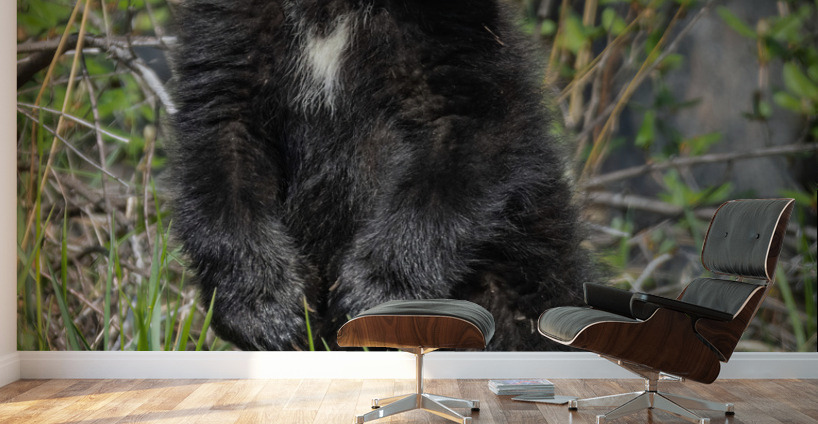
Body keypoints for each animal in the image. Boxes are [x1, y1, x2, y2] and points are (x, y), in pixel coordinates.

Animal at [168, 0, 591, 351]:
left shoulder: (456, 37)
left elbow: (461, 134)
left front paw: (374, 295)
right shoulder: (232, 29)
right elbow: (222, 133)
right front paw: (268, 311)